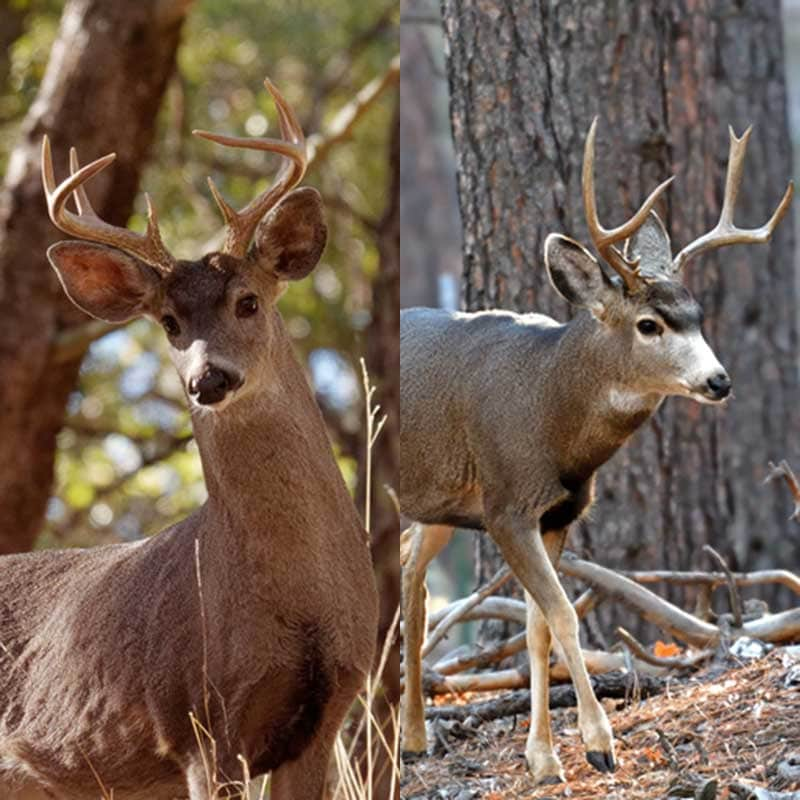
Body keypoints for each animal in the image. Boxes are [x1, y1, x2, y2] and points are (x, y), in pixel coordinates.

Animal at [0, 76, 380, 800]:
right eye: (170, 322)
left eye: (248, 301)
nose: (208, 379)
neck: (298, 600)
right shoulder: (199, 722)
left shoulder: (329, 710)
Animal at [400, 122, 792, 784]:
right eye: (649, 324)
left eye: (697, 315)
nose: (719, 381)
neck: (552, 413)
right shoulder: (506, 506)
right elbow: (564, 615)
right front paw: (599, 743)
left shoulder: (558, 514)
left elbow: (536, 626)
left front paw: (543, 757)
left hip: (436, 501)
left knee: (411, 576)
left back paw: (412, 735)